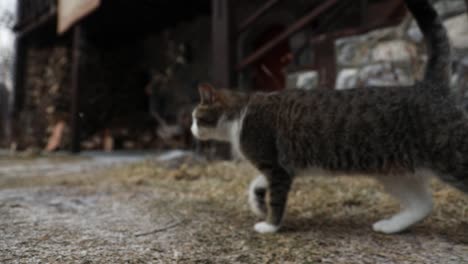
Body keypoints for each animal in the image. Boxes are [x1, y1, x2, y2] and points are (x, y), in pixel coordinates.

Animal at [191, 0, 468, 235]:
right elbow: (256, 185)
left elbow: (276, 199)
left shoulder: (276, 167)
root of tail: (428, 86)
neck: (241, 112)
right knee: (424, 204)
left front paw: (270, 226)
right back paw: (390, 226)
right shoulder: (280, 167)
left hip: (448, 157)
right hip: (395, 172)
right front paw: (258, 202)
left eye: (195, 117)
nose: (191, 129)